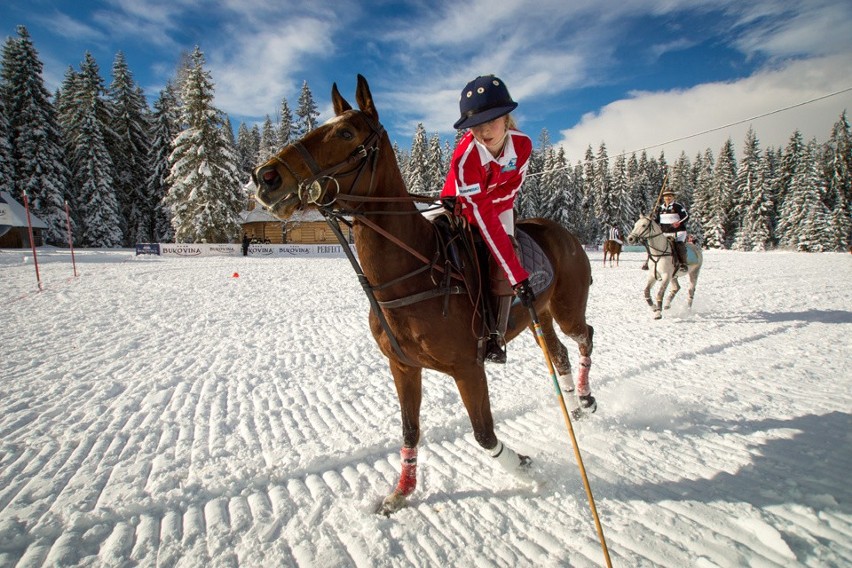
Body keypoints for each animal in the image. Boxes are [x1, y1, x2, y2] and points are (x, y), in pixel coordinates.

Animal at [253, 75, 596, 516]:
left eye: (346, 133)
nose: (265, 177)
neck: (411, 275)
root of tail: (565, 233)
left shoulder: (468, 368)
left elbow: (484, 434)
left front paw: (524, 465)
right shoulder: (402, 366)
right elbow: (410, 430)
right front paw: (400, 493)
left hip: (567, 307)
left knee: (584, 334)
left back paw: (586, 398)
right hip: (543, 312)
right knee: (559, 352)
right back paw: (575, 406)